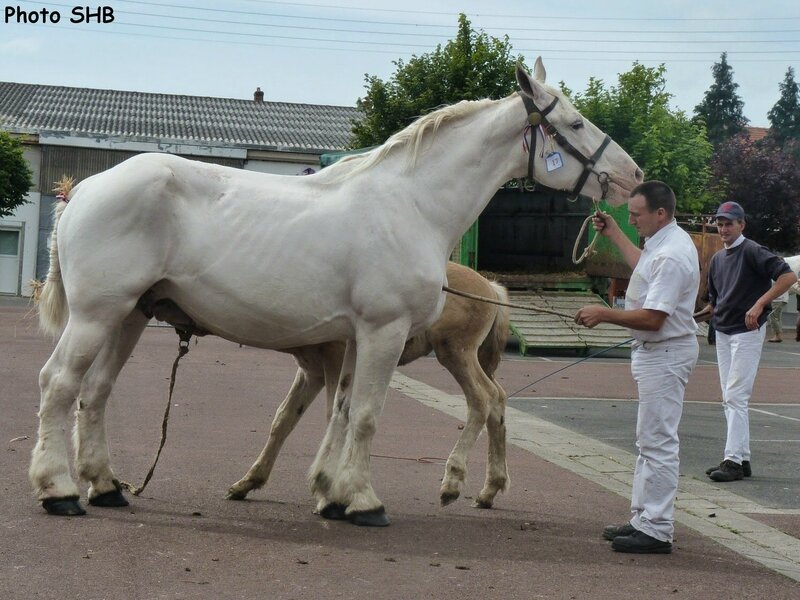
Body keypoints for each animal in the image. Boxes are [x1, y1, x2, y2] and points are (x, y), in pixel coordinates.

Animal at [32, 57, 644, 524]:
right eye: (575, 122)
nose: (634, 175)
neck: (410, 203)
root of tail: (85, 187)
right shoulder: (383, 331)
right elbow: (367, 414)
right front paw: (364, 502)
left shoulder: (349, 341)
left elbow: (344, 411)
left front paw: (331, 493)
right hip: (96, 314)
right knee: (59, 383)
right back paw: (59, 491)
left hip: (130, 316)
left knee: (96, 392)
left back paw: (104, 487)